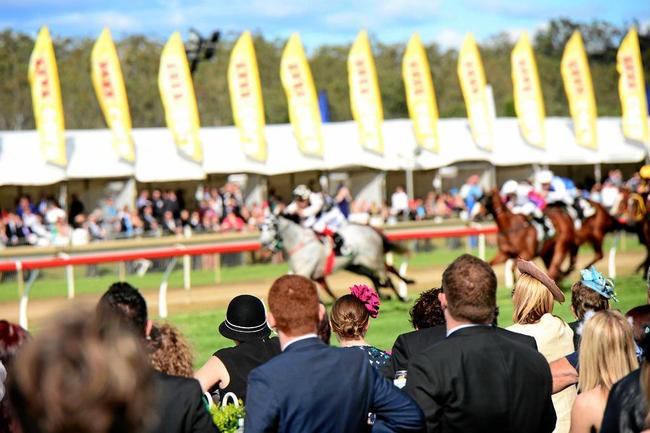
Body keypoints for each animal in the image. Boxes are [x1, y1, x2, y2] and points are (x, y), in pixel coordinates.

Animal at [258, 213, 410, 300]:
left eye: (271, 226)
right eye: (261, 227)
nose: (263, 243)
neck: (299, 243)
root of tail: (370, 228)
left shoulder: (305, 272)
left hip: (373, 261)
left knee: (387, 276)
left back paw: (401, 296)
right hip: (354, 265)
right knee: (373, 276)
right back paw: (382, 295)